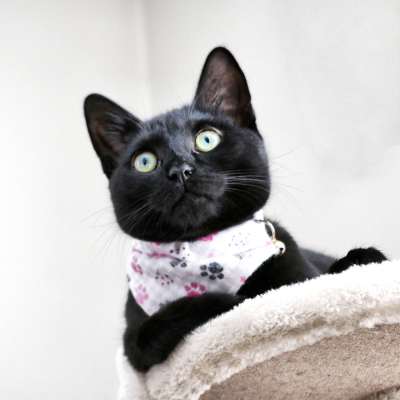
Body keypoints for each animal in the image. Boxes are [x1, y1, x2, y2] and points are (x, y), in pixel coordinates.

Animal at [83, 48, 386, 374]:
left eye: (207, 139)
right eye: (145, 161)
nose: (180, 170)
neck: (204, 253)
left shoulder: (300, 277)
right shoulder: (134, 338)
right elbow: (175, 316)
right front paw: (232, 300)